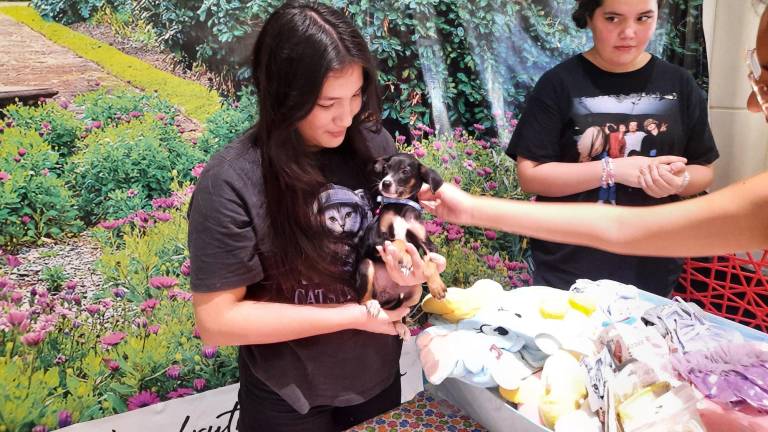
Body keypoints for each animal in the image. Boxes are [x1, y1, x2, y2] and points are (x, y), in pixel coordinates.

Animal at [356, 152, 448, 338]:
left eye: (405, 171)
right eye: (386, 168)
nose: (385, 183)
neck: (401, 206)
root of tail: (384, 297)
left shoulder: (428, 245)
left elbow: (430, 262)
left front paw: (436, 286)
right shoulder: (374, 239)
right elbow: (398, 241)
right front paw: (406, 258)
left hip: (416, 291)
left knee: (399, 312)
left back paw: (400, 325)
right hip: (366, 265)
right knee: (363, 299)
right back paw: (372, 304)